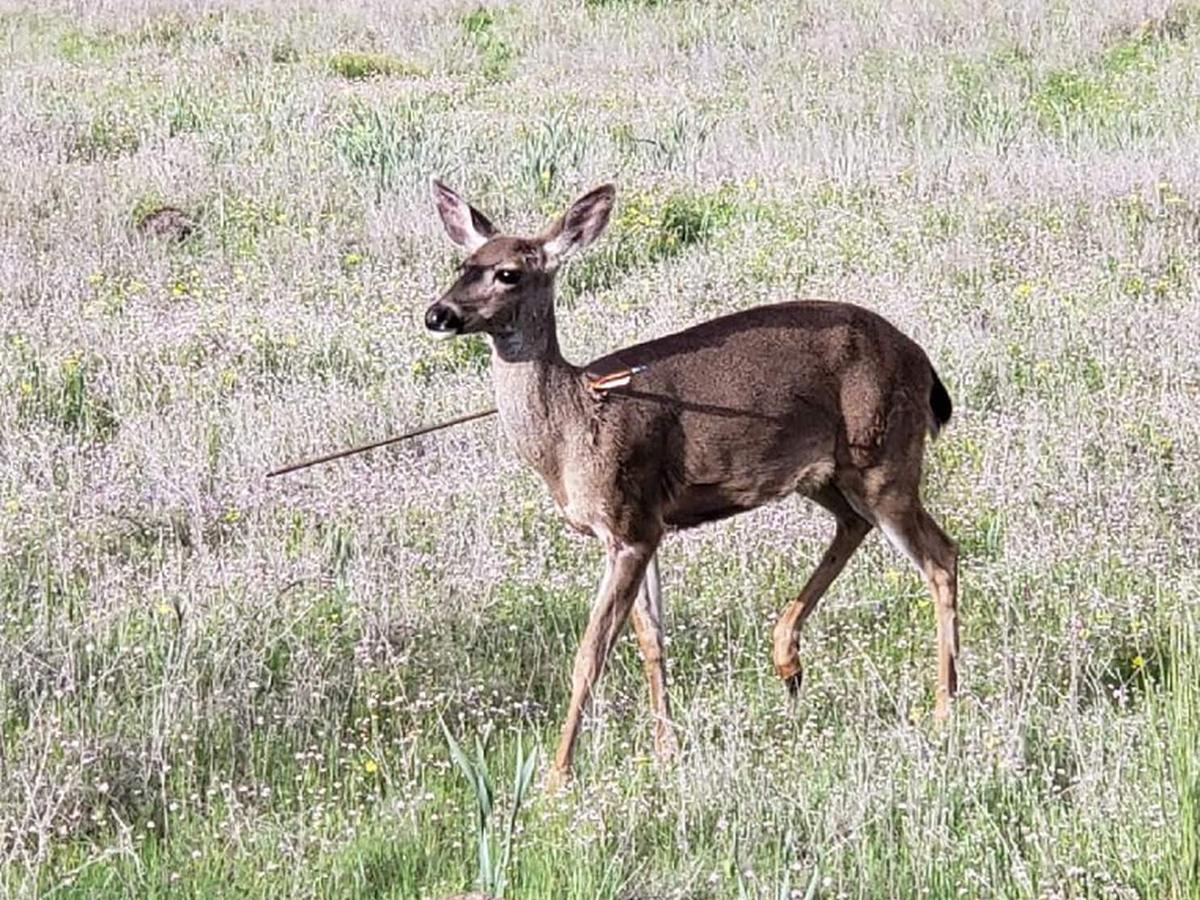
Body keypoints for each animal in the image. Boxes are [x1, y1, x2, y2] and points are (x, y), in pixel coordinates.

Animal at [427, 180, 960, 787]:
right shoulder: (643, 525)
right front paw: (667, 750)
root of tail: (921, 359)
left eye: (508, 273)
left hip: (885, 456)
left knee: (941, 556)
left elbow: (591, 653)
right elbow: (651, 640)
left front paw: (557, 776)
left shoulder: (629, 522)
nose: (437, 313)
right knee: (856, 526)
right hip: (827, 473)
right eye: (463, 264)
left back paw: (944, 708)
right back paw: (788, 660)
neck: (572, 426)